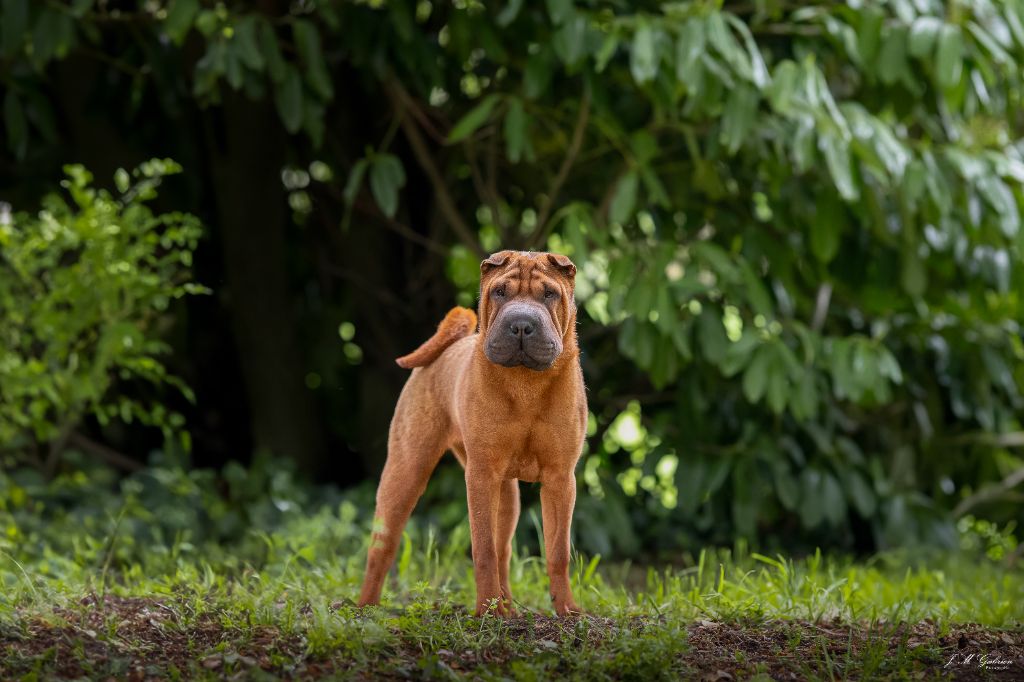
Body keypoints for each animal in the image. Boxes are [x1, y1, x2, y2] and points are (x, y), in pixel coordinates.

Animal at [358, 249, 585, 614]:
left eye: (550, 294)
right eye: (500, 292)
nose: (521, 325)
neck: (525, 385)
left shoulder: (560, 477)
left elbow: (558, 551)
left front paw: (567, 610)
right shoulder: (481, 475)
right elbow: (483, 547)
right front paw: (485, 611)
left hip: (507, 495)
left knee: (504, 549)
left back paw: (509, 609)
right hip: (405, 472)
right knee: (382, 547)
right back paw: (365, 608)